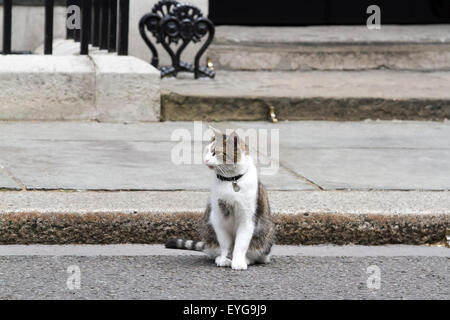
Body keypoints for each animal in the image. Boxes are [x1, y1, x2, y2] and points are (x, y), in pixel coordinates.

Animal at [167, 127, 276, 270]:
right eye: (207, 151)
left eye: (215, 152)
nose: (206, 160)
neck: (230, 181)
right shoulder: (217, 217)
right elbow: (225, 244)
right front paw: (225, 258)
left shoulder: (247, 219)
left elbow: (240, 244)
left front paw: (238, 261)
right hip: (208, 229)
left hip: (264, 234)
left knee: (258, 255)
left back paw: (247, 259)